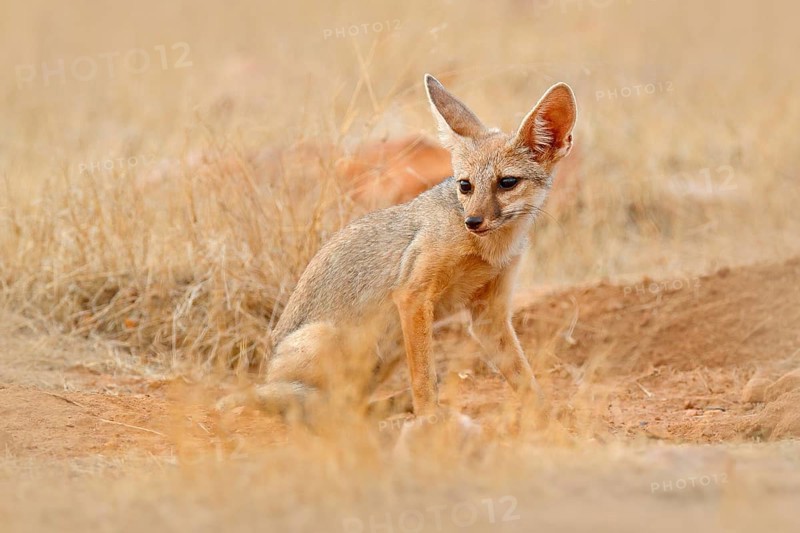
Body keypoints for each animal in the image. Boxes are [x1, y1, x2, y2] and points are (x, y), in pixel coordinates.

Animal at [218, 74, 577, 423]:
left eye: (507, 183)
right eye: (465, 185)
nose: (473, 221)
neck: (488, 249)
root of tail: (268, 374)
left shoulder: (488, 314)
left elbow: (522, 374)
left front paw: (545, 416)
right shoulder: (413, 296)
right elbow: (424, 375)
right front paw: (429, 418)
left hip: (385, 352)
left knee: (354, 404)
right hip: (333, 340)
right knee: (326, 405)